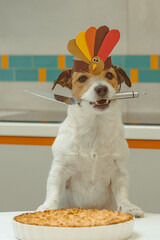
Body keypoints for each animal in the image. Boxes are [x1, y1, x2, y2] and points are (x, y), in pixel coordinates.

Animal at [37, 63, 144, 218]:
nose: (101, 88)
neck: (95, 128)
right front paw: (48, 207)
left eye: (109, 75)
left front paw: (129, 207)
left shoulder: (119, 171)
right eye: (82, 78)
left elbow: (122, 193)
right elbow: (53, 190)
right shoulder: (60, 168)